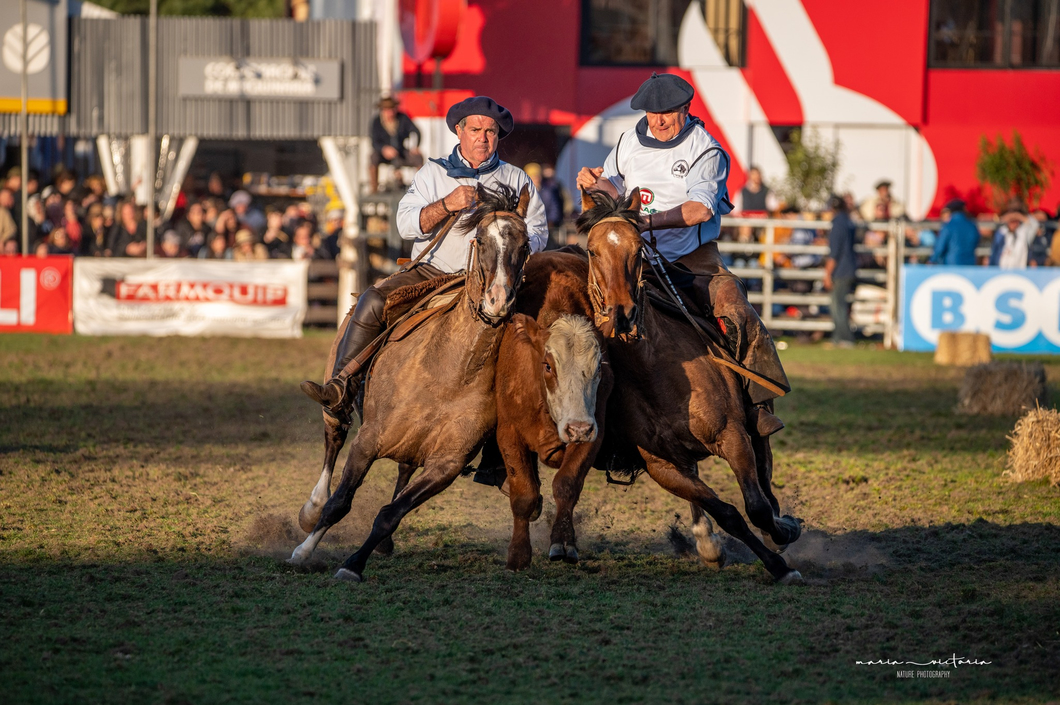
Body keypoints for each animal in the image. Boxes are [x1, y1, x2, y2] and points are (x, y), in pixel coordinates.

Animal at [288, 184, 530, 580]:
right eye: (481, 239)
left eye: (525, 244)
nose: (498, 300)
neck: (450, 372)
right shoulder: (367, 441)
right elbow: (340, 502)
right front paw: (304, 552)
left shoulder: (446, 465)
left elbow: (391, 514)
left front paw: (355, 563)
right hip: (336, 405)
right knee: (333, 440)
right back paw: (311, 509)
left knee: (403, 469)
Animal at [580, 186, 801, 580]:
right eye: (592, 250)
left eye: (637, 250)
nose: (622, 315)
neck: (653, 370)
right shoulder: (663, 467)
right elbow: (728, 513)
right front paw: (772, 563)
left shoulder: (732, 435)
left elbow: (756, 506)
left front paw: (782, 538)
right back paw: (706, 541)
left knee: (764, 463)